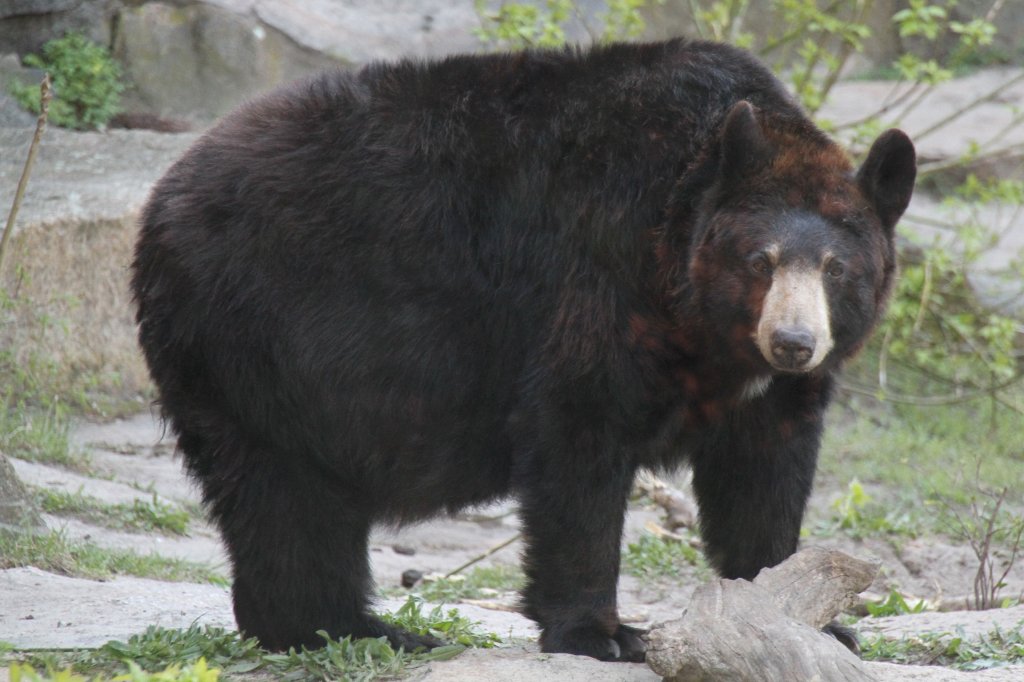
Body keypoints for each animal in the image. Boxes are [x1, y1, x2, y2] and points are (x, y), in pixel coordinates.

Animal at [132, 38, 917, 659]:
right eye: (761, 260)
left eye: (837, 269)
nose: (793, 342)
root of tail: (164, 193)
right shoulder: (605, 273)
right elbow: (579, 431)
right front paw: (605, 632)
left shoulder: (765, 388)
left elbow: (762, 471)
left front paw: (808, 616)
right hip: (261, 331)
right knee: (284, 493)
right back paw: (354, 628)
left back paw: (354, 627)